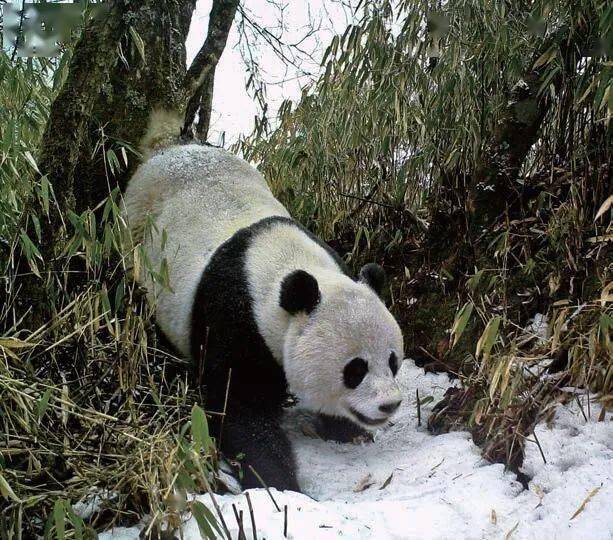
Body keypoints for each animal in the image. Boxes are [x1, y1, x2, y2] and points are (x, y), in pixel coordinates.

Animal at [122, 120, 404, 492]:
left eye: (393, 361)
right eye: (355, 369)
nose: (389, 405)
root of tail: (167, 150)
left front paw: (346, 430)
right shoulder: (233, 315)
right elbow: (239, 407)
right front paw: (277, 481)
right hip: (135, 238)